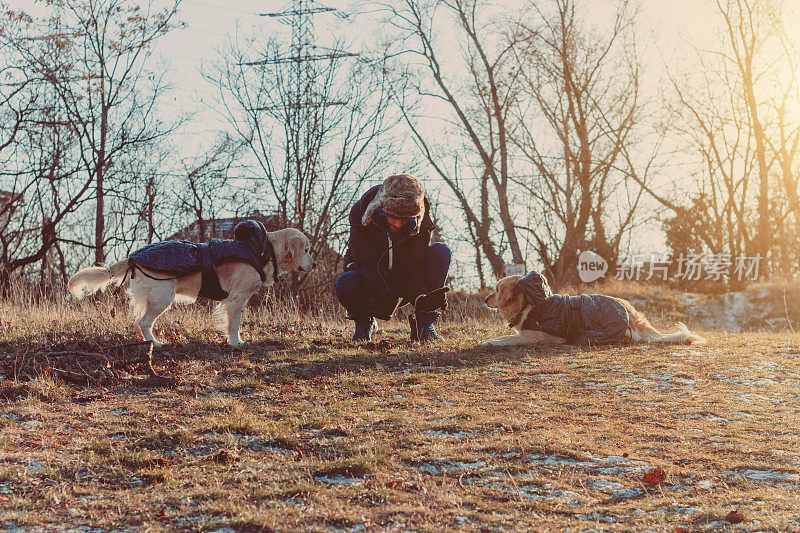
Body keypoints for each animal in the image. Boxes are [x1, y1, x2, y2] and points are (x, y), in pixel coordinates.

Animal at [68, 219, 312, 344]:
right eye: (308, 249)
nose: (315, 264)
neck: (262, 250)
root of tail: (133, 256)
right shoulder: (236, 298)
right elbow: (234, 324)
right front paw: (235, 343)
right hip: (162, 298)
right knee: (143, 322)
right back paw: (155, 343)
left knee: (138, 323)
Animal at [478, 272, 704, 348]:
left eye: (497, 289)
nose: (485, 299)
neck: (530, 304)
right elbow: (503, 336)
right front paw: (485, 340)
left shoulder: (535, 336)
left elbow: (505, 339)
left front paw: (488, 342)